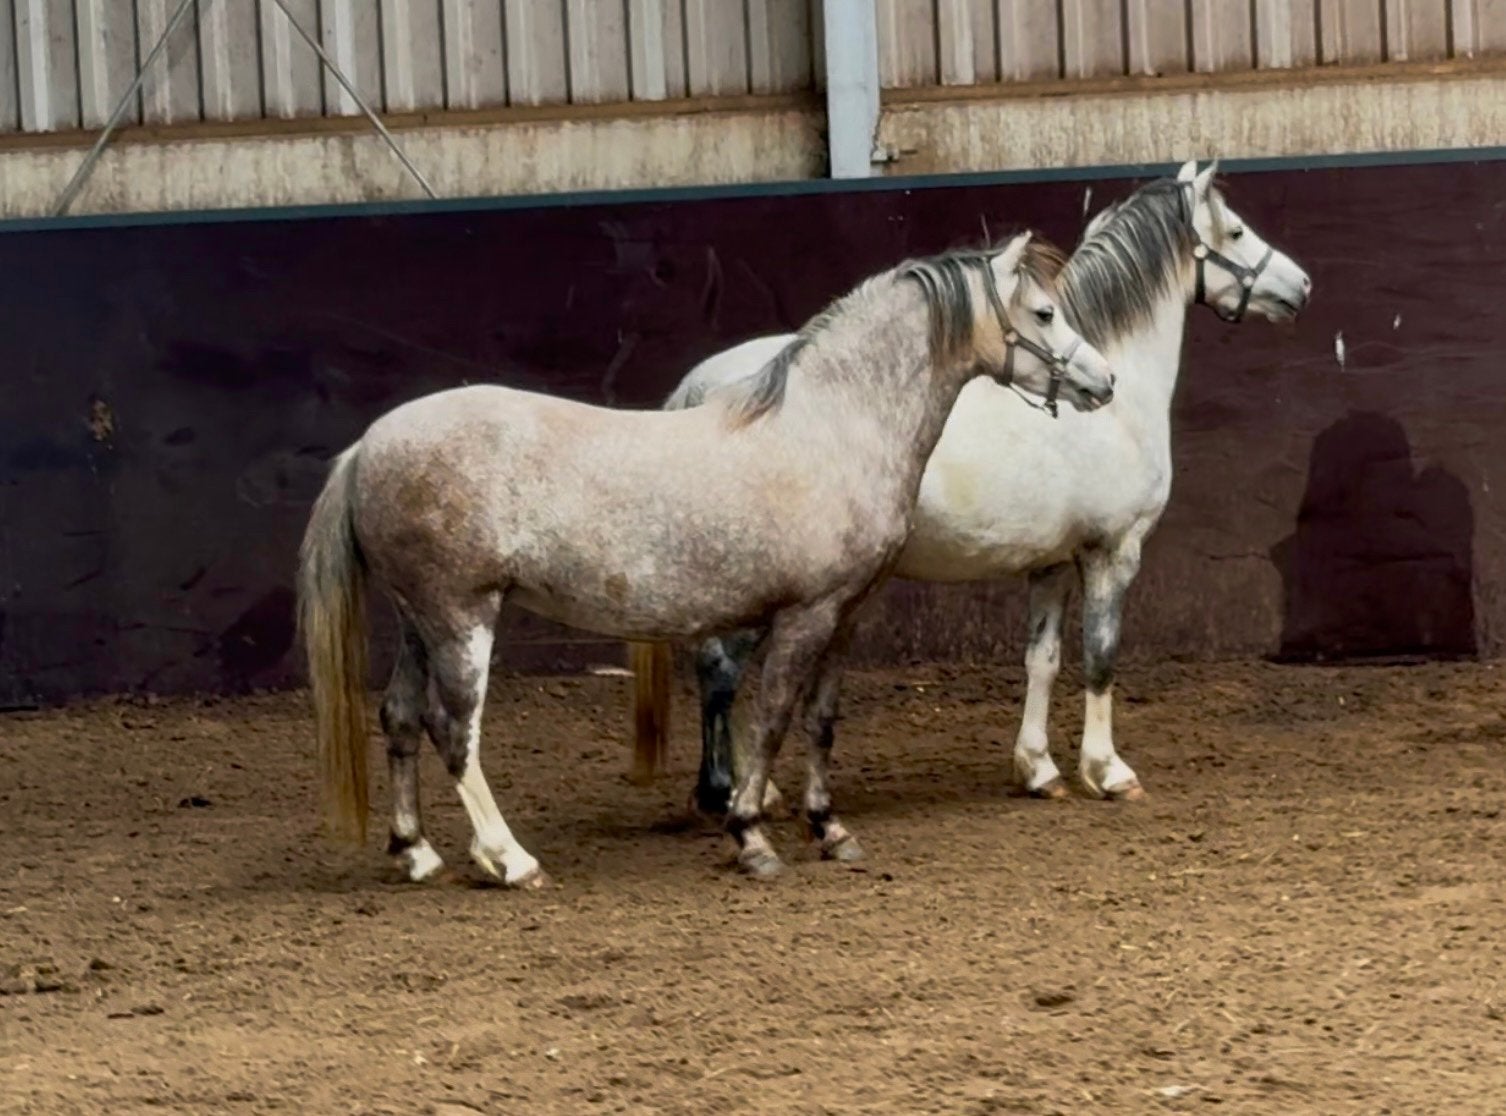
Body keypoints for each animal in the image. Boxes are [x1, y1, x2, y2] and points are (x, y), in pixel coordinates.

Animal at [297, 231, 1116, 885]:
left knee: (401, 717)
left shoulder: (845, 615)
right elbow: (773, 718)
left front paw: (831, 830)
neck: (831, 426)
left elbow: (820, 719)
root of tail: (368, 446)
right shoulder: (804, 615)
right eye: (1044, 313)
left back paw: (415, 853)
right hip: (462, 619)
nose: (1103, 382)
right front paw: (751, 837)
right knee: (453, 730)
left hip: (419, 623)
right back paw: (510, 860)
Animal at [628, 159, 1313, 817]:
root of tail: (701, 387)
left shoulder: (1051, 564)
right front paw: (1108, 772)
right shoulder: (1113, 552)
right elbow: (1101, 655)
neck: (1116, 406)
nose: (1301, 285)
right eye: (1236, 232)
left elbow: (1043, 660)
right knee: (725, 668)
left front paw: (1039, 770)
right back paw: (744, 790)